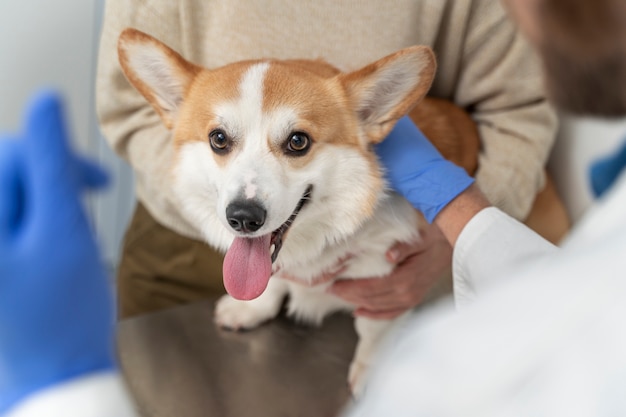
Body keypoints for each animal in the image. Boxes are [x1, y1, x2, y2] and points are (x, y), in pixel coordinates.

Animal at [117, 26, 478, 394]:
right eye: (218, 139)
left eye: (298, 141)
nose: (243, 218)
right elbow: (273, 282)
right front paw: (252, 308)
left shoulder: (388, 277)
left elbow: (373, 331)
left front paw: (374, 371)